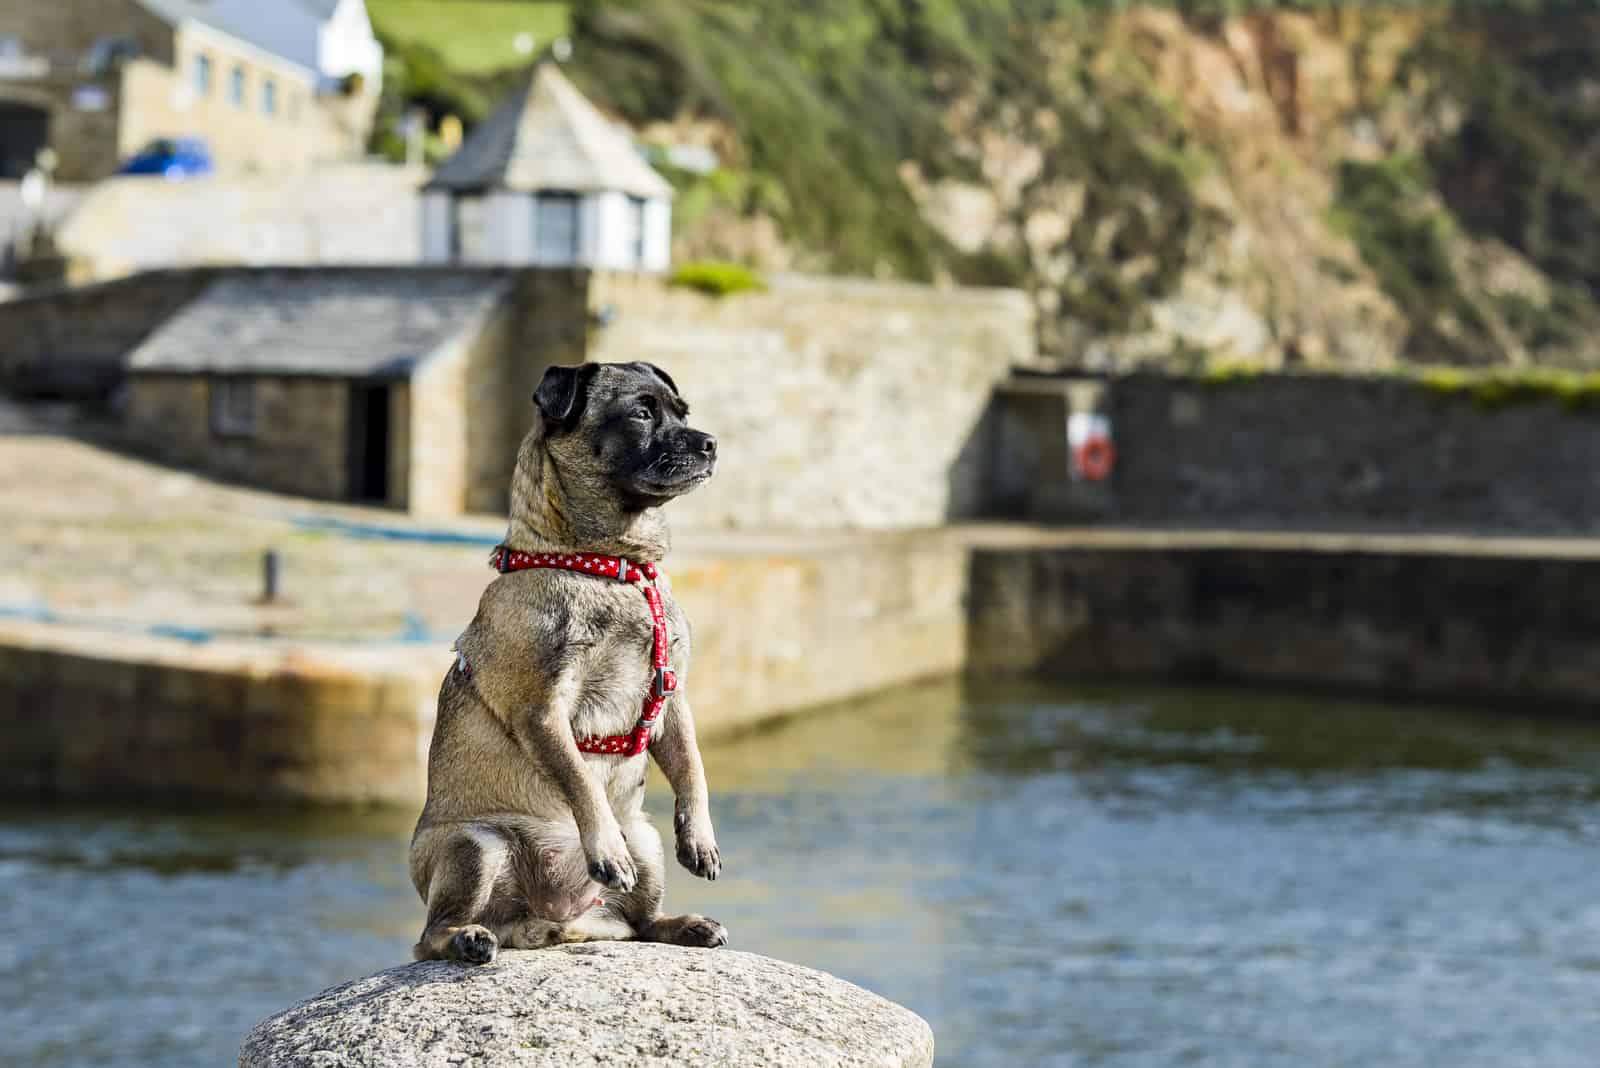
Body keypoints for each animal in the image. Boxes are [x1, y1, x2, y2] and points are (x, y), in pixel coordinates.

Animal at [406, 362, 726, 965]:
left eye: (683, 413)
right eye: (642, 414)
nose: (709, 443)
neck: (612, 566)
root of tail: (544, 916)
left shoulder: (673, 699)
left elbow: (693, 768)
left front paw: (700, 837)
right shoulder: (542, 711)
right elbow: (580, 781)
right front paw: (602, 845)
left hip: (645, 840)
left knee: (641, 922)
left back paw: (684, 925)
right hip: (476, 847)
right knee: (428, 937)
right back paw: (469, 938)